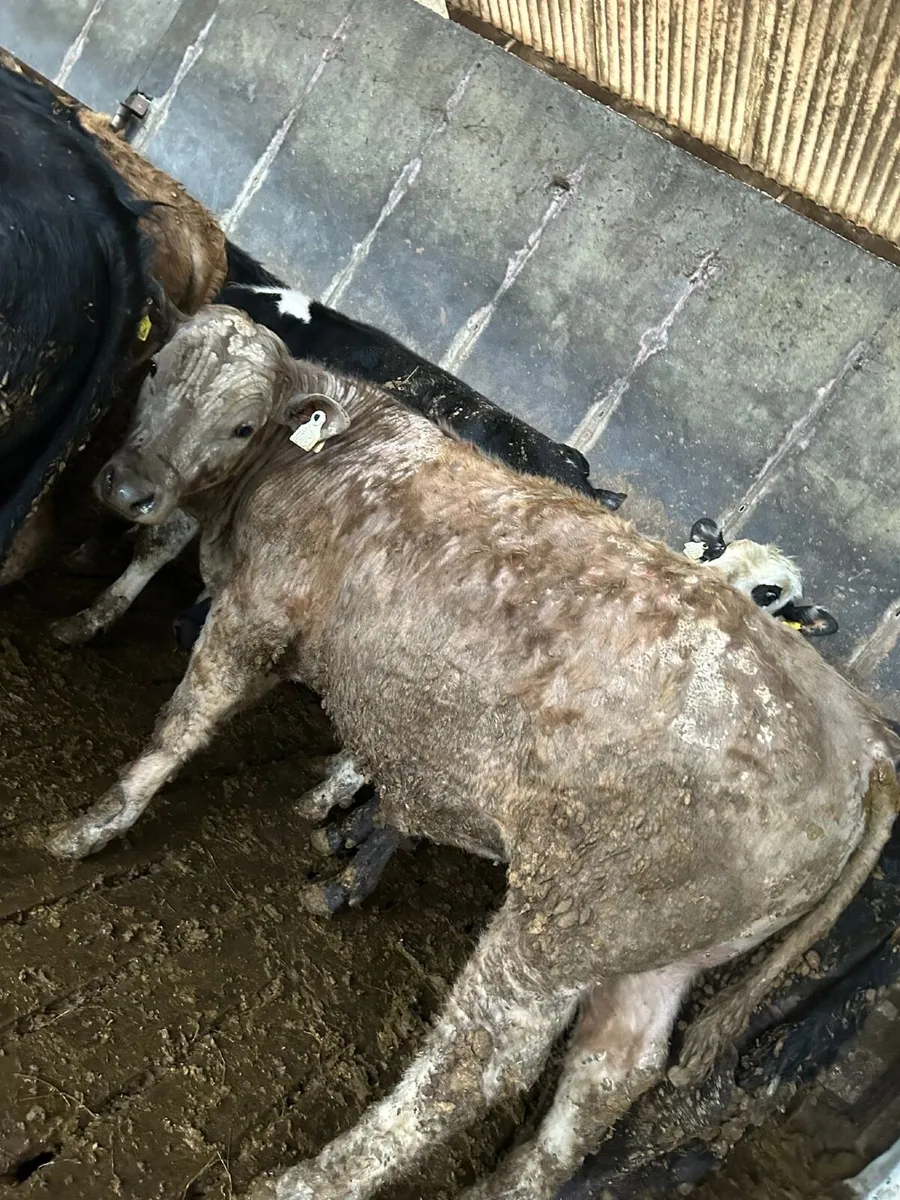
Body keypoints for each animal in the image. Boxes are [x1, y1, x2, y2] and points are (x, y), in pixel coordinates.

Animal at [45, 304, 899, 1200]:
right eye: (155, 370)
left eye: (244, 422)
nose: (128, 486)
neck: (335, 451)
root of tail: (866, 739)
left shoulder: (254, 612)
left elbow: (180, 724)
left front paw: (93, 825)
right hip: (662, 951)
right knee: (610, 1072)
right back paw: (504, 1185)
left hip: (565, 926)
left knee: (478, 1066)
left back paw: (309, 1180)